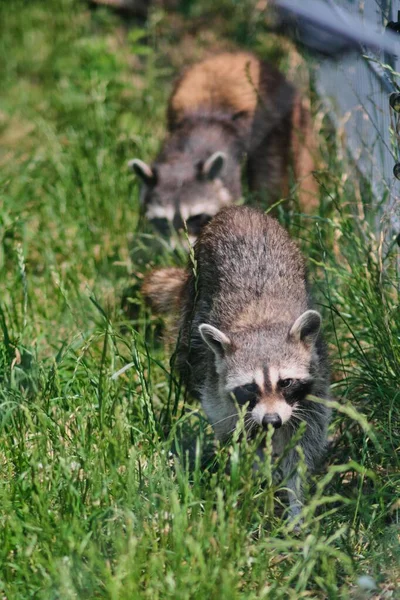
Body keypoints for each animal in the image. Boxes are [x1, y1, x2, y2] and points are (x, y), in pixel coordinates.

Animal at [130, 49, 318, 241]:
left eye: (195, 217)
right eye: (163, 221)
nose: (181, 248)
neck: (186, 154)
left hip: (280, 125)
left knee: (271, 176)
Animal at [144, 206, 332, 516]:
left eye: (286, 382)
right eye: (249, 387)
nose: (271, 420)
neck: (260, 322)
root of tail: (238, 210)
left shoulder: (316, 381)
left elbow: (304, 442)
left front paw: (295, 503)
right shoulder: (216, 385)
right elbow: (233, 431)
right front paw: (255, 472)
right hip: (193, 306)